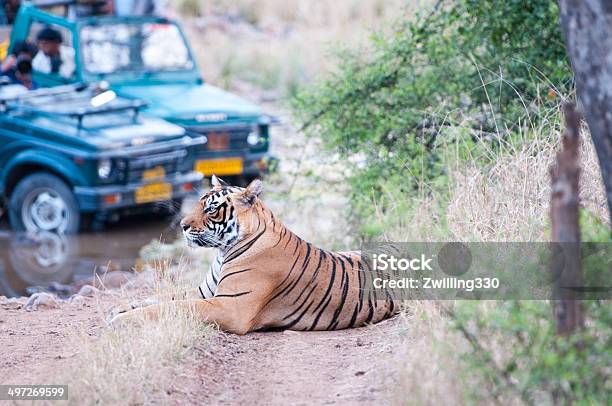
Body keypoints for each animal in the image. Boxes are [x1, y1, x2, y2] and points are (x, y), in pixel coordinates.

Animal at [111, 176, 402, 334]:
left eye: (211, 209)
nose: (182, 226)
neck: (223, 251)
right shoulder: (206, 293)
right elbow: (162, 298)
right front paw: (121, 306)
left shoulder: (228, 306)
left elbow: (173, 306)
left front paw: (121, 319)